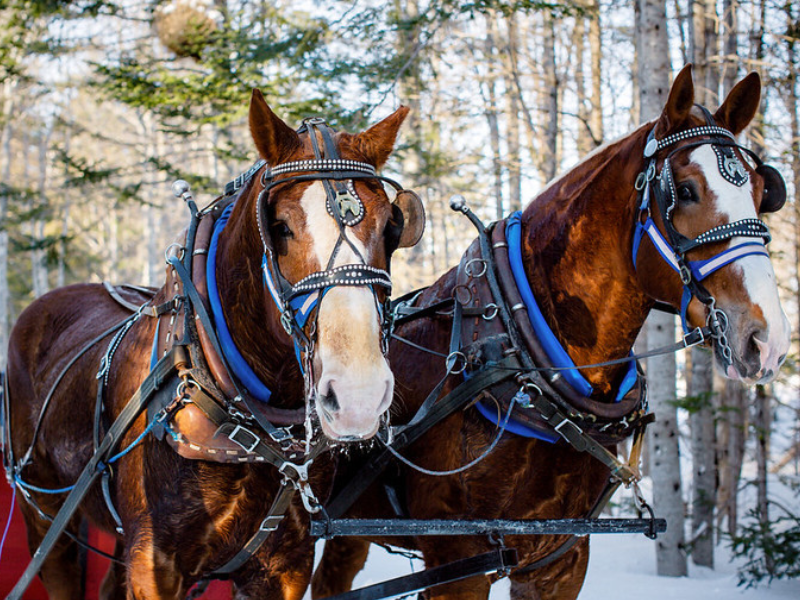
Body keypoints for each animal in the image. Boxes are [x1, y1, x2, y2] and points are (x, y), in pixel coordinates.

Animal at [2, 89, 425, 599]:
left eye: (390, 228)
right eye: (280, 227)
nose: (358, 396)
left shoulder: (287, 566)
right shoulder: (153, 564)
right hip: (44, 511)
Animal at [311, 65, 790, 600]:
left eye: (762, 190)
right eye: (684, 190)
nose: (767, 339)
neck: (518, 353)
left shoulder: (562, 557)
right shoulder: (457, 559)